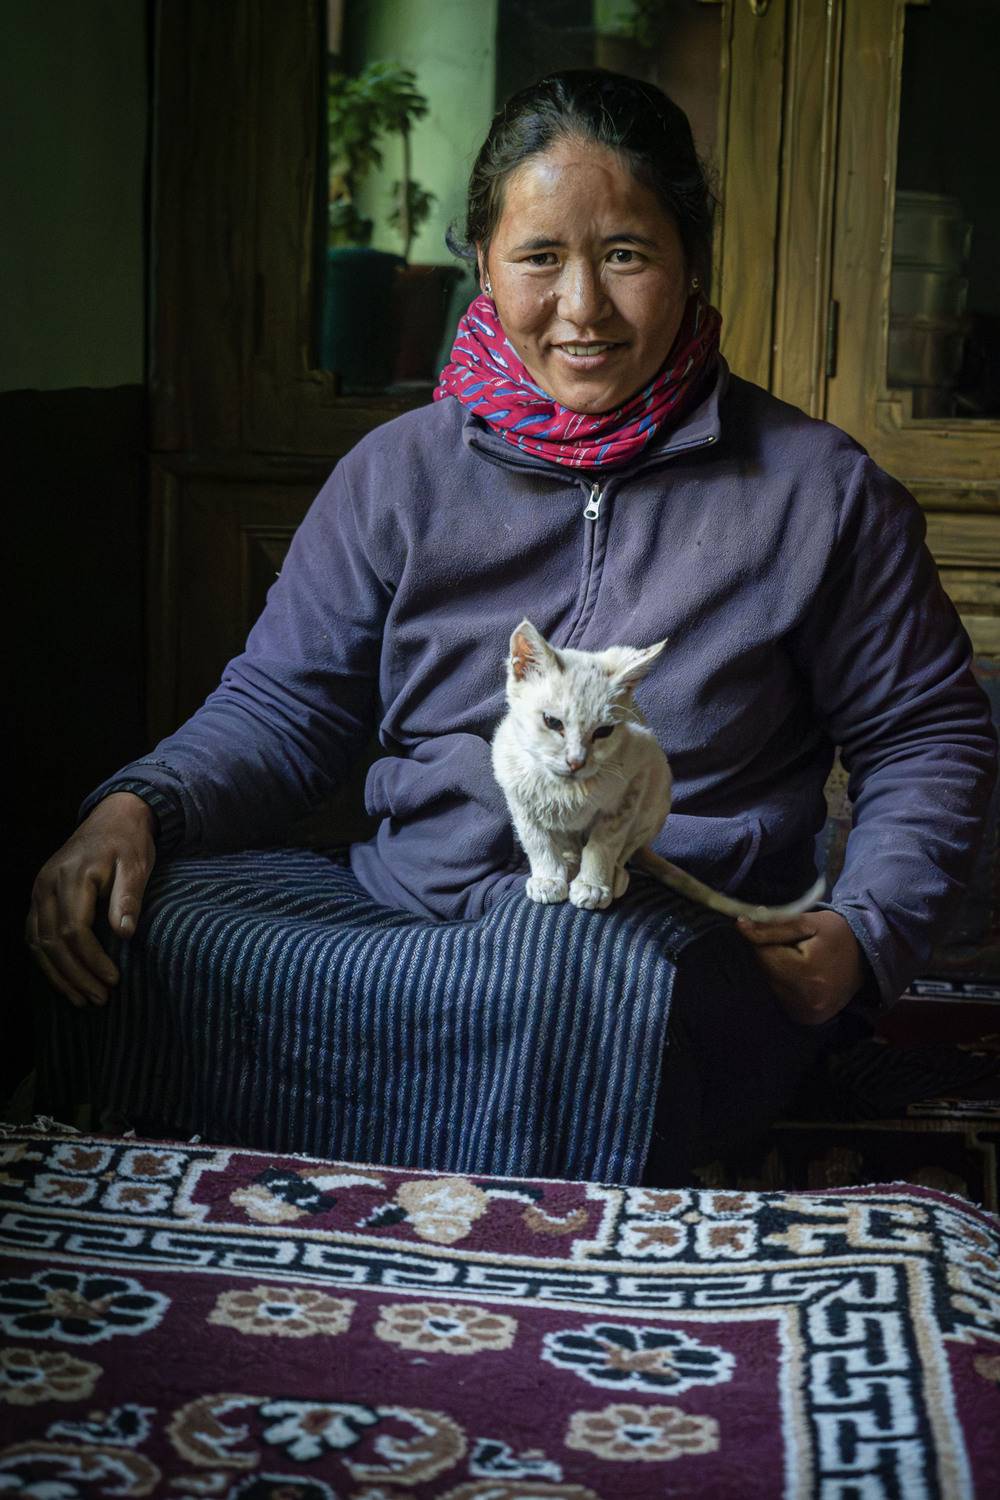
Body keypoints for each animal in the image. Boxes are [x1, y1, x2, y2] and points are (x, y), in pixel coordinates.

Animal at [491, 618, 824, 919]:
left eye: (603, 732)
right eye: (552, 722)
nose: (576, 761)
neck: (567, 790)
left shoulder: (635, 780)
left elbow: (605, 843)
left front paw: (594, 884)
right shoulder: (518, 800)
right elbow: (538, 841)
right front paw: (549, 877)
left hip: (659, 787)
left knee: (629, 848)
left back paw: (613, 876)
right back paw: (570, 862)